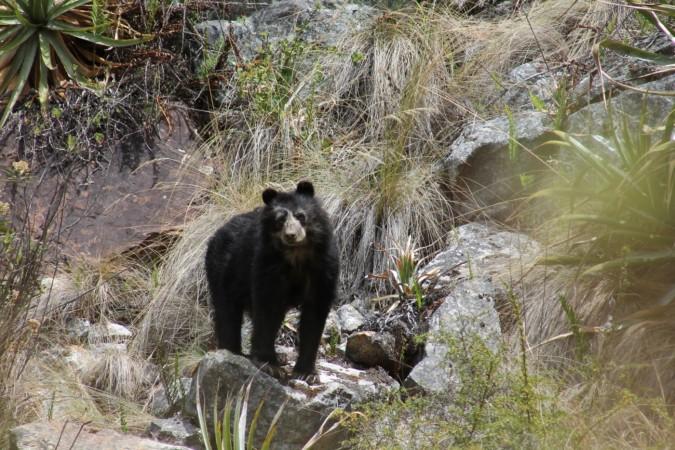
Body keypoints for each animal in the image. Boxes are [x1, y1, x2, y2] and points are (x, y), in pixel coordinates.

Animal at [205, 181, 339, 382]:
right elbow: (267, 308)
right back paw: (233, 352)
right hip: (223, 269)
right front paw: (269, 365)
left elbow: (315, 312)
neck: (296, 255)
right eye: (280, 220)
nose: (291, 235)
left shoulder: (324, 267)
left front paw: (306, 372)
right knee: (227, 312)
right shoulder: (267, 263)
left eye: (301, 216)